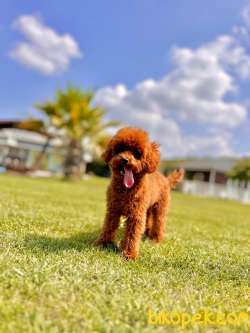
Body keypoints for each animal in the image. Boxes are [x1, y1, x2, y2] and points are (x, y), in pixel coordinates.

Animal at [94, 127, 184, 260]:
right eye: (120, 148)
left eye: (137, 153)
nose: (125, 160)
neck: (126, 190)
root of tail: (166, 180)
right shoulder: (113, 209)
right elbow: (108, 226)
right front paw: (103, 244)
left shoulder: (136, 214)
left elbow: (132, 234)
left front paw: (129, 254)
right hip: (147, 208)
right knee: (149, 220)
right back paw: (147, 233)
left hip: (160, 207)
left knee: (159, 222)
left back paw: (156, 239)